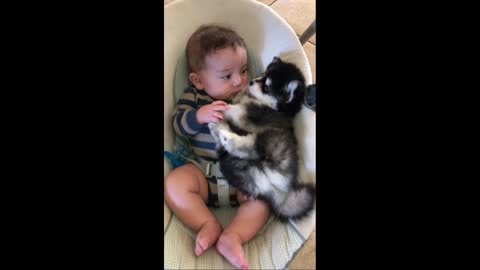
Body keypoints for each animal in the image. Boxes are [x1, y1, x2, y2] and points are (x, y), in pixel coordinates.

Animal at [209, 57, 316, 221]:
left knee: (248, 147)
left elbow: (234, 109)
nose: (250, 82)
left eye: (266, 87)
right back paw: (218, 128)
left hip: (269, 141)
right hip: (239, 167)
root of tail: (278, 193)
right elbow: (238, 99)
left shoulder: (248, 113)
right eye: (263, 75)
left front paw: (221, 106)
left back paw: (226, 136)